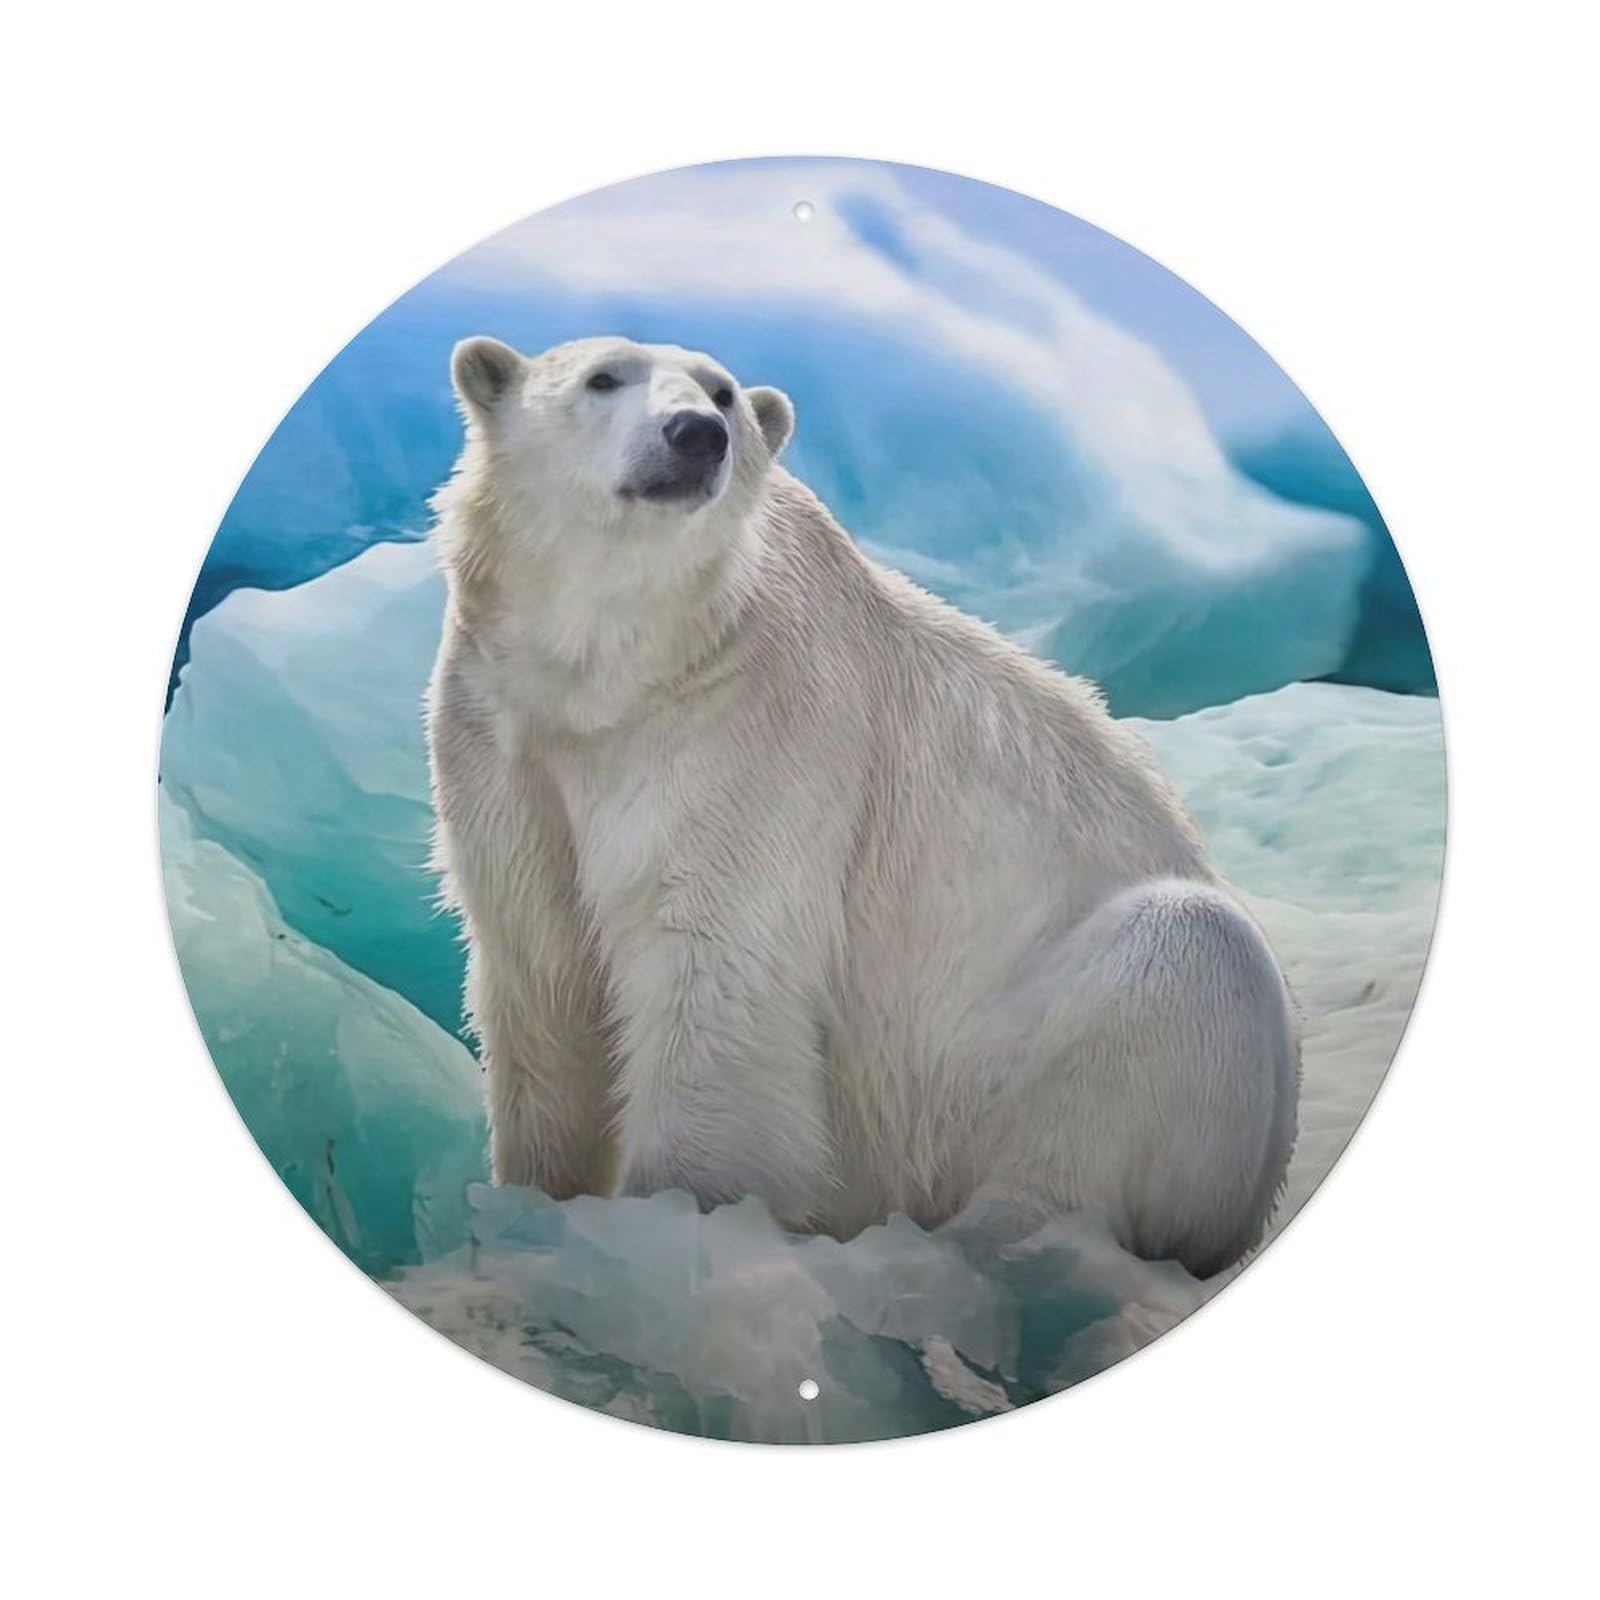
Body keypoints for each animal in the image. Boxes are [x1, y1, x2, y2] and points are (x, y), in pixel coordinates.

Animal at [426, 333, 1299, 1278]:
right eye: (602, 378)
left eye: (723, 394)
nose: (696, 435)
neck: (622, 670)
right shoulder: (505, 734)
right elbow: (542, 964)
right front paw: (535, 1202)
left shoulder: (750, 732)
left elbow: (716, 967)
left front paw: (675, 1216)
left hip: (1020, 1062)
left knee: (1178, 970)